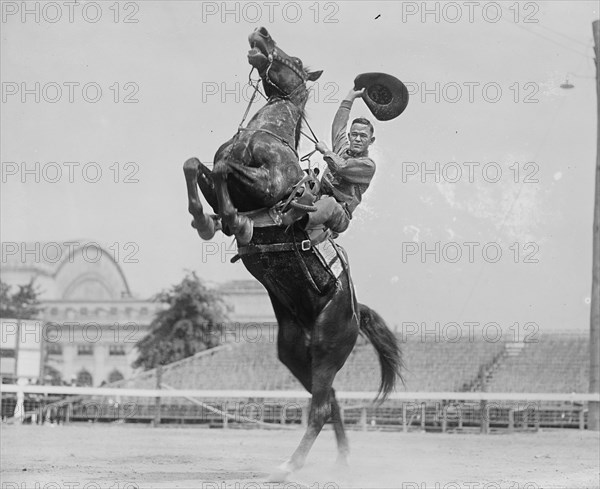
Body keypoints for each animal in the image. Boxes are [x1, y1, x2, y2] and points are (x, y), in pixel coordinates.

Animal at [183, 24, 404, 478]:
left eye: (297, 60)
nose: (261, 33)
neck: (263, 136)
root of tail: (355, 313)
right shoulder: (216, 176)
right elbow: (196, 164)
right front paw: (204, 220)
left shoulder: (267, 186)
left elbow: (226, 171)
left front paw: (233, 222)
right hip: (294, 355)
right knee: (330, 401)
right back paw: (340, 461)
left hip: (326, 351)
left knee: (319, 407)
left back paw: (288, 466)